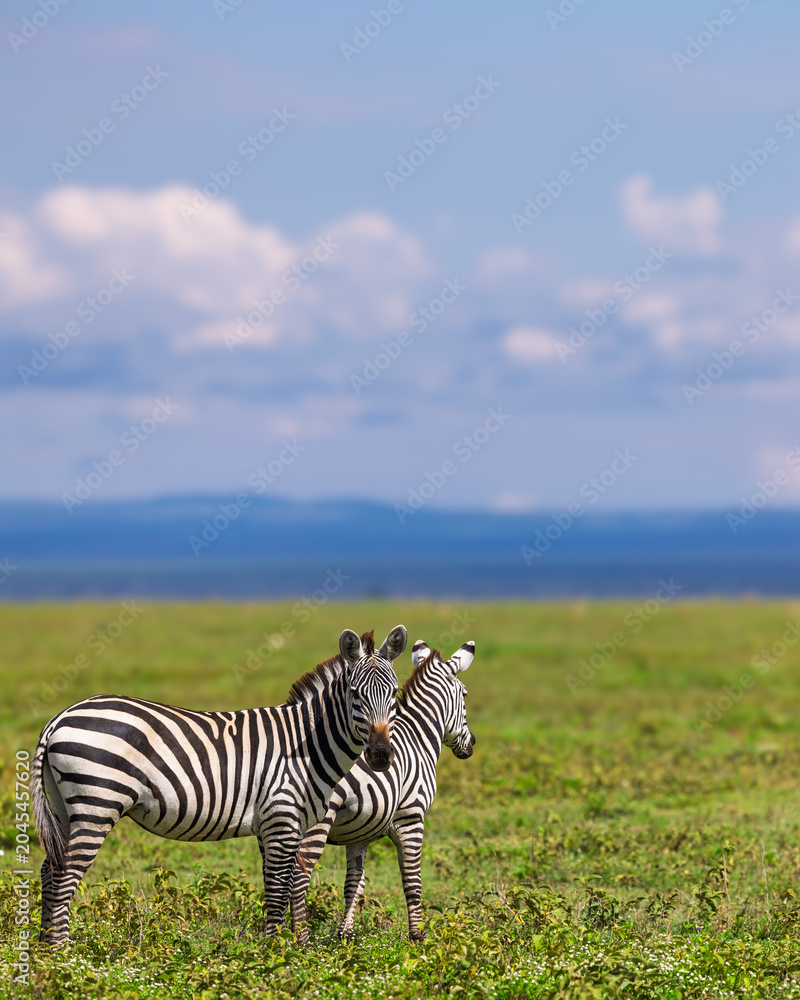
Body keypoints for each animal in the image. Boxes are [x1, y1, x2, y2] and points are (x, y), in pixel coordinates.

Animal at [31, 625, 406, 946]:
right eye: (355, 694)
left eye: (393, 693)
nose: (380, 755)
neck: (308, 744)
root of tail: (59, 718)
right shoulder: (282, 818)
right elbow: (278, 889)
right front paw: (277, 953)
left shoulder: (271, 825)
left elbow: (279, 885)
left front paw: (287, 946)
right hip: (97, 802)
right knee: (65, 875)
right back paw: (64, 955)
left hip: (65, 806)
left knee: (50, 868)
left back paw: (45, 952)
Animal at [290, 638, 475, 944]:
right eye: (464, 694)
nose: (471, 744)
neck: (417, 736)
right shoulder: (411, 817)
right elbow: (412, 882)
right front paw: (417, 936)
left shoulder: (360, 831)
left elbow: (354, 883)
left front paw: (346, 934)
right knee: (298, 876)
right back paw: (299, 941)